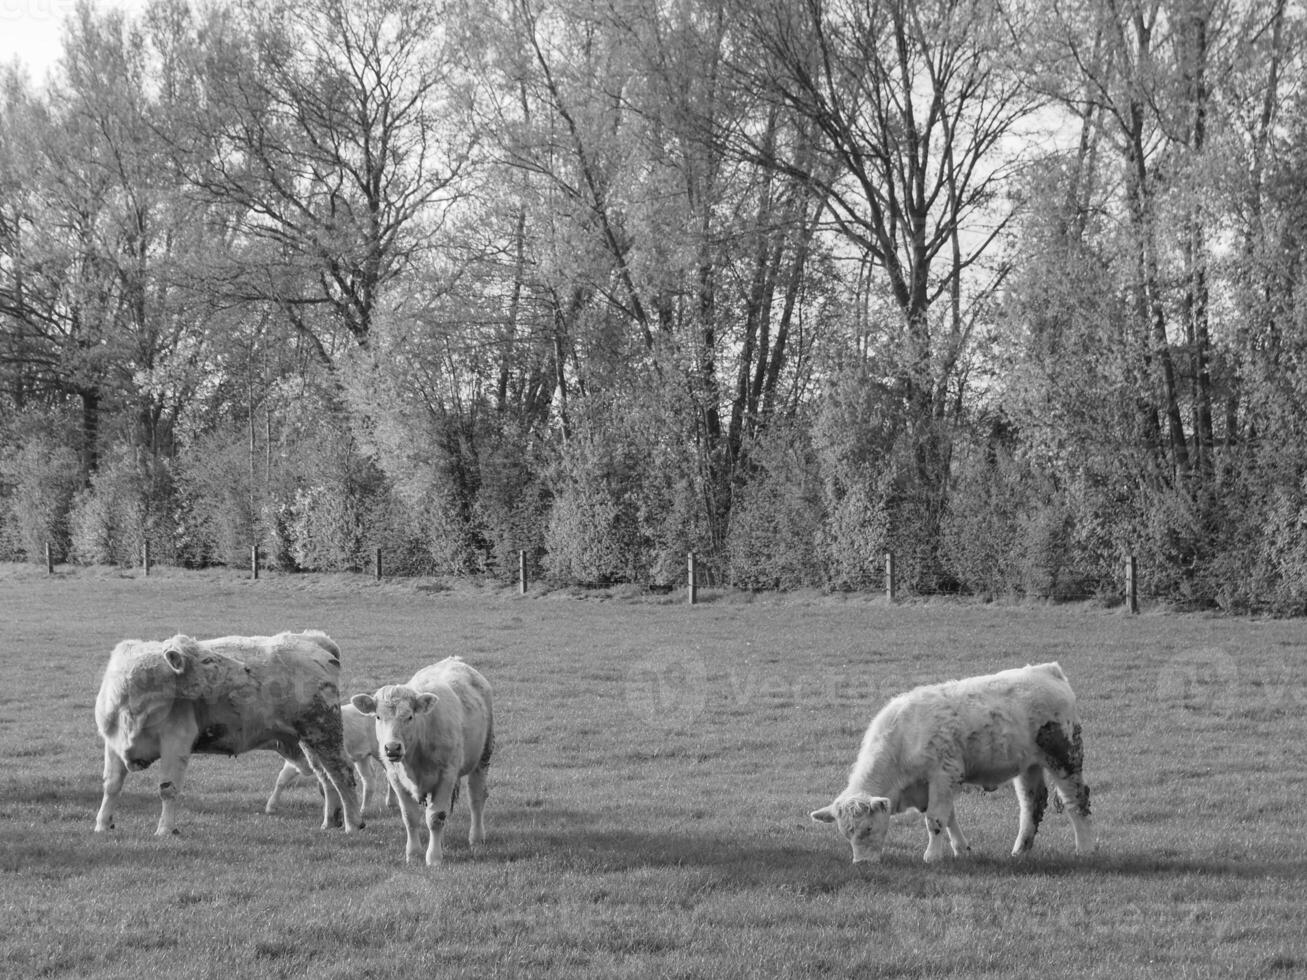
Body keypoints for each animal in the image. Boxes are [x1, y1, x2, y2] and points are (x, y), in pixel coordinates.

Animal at [94, 629, 363, 836]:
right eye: (207, 660)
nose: (246, 669)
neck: (133, 704)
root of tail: (313, 639)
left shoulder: (175, 743)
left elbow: (167, 789)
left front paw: (165, 830)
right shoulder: (113, 743)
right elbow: (111, 785)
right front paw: (103, 824)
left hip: (323, 731)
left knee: (342, 773)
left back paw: (352, 824)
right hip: (309, 741)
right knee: (326, 777)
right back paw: (330, 822)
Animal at [352, 661, 494, 867]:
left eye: (410, 717)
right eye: (378, 717)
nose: (392, 748)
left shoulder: (446, 776)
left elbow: (435, 817)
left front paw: (433, 857)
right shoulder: (396, 779)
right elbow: (410, 817)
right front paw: (413, 854)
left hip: (483, 755)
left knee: (476, 799)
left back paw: (476, 838)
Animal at [805, 663, 1092, 862]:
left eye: (867, 828)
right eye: (846, 834)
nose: (861, 863)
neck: (905, 736)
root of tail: (1048, 671)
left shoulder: (943, 776)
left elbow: (935, 819)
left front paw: (932, 856)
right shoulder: (933, 786)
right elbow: (949, 816)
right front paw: (961, 849)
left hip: (1065, 759)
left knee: (1075, 801)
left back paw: (1083, 849)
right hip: (1028, 767)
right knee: (1032, 805)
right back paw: (1020, 851)